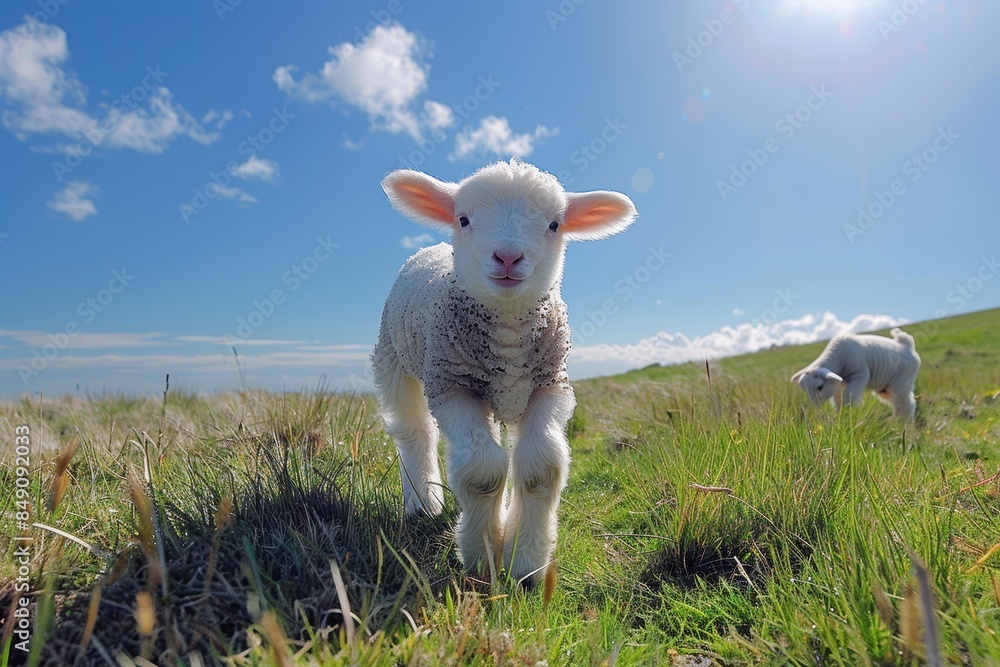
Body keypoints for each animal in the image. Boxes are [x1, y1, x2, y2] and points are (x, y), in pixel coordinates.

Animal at [371, 158, 637, 585]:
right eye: (464, 219)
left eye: (555, 224)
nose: (508, 257)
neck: (508, 331)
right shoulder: (453, 385)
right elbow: (482, 473)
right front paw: (482, 560)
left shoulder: (550, 385)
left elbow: (540, 468)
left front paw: (525, 563)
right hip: (393, 358)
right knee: (414, 431)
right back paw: (424, 503)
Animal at [790, 328, 920, 420]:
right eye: (804, 389)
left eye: (820, 387)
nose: (814, 408)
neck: (839, 356)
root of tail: (907, 345)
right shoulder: (838, 383)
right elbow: (838, 400)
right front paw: (840, 415)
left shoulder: (859, 376)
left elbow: (849, 397)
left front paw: (848, 414)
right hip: (885, 387)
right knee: (896, 402)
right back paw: (896, 420)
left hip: (903, 381)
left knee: (907, 403)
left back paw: (904, 423)